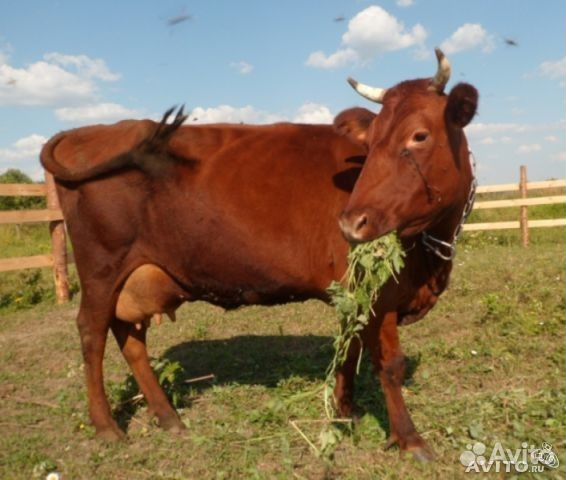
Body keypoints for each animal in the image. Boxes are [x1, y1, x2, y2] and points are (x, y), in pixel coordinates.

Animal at [40, 48, 480, 462]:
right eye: (370, 145)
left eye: (419, 136)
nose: (352, 223)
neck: (431, 260)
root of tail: (91, 130)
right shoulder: (377, 294)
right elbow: (389, 364)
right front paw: (410, 439)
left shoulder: (352, 293)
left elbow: (348, 348)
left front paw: (345, 412)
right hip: (101, 266)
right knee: (92, 333)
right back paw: (107, 426)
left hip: (135, 276)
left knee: (129, 337)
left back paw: (168, 417)